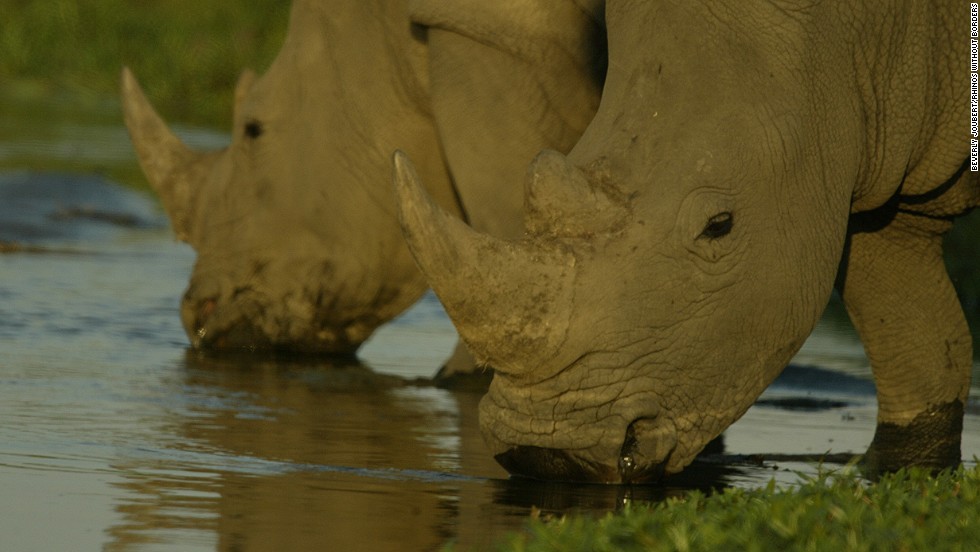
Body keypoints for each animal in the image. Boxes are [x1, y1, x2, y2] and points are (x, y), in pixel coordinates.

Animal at [392, 1, 980, 484]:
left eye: (719, 225)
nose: (549, 454)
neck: (872, 29)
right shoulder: (872, 162)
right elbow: (914, 339)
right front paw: (909, 473)